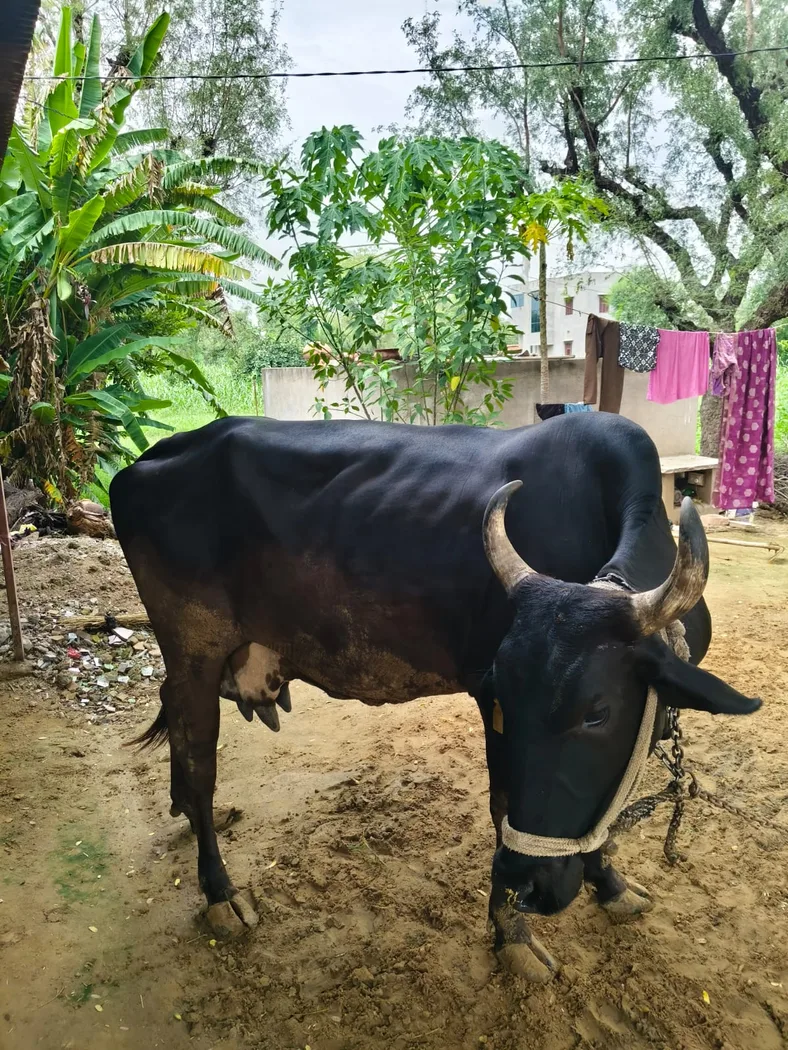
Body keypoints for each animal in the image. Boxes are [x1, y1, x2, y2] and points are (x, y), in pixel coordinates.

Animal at [109, 411, 760, 982]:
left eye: (597, 713)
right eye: (500, 702)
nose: (528, 883)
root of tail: (146, 460)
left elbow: (607, 803)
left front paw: (610, 884)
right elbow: (503, 804)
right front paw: (511, 933)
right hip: (193, 651)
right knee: (200, 762)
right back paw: (220, 891)